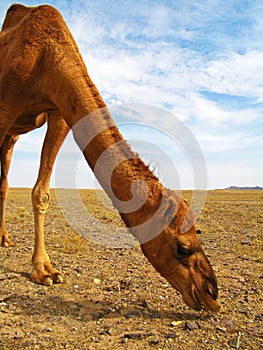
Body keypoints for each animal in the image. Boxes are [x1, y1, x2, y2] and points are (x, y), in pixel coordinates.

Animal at [0, 4, 221, 312]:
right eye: (183, 248)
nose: (211, 292)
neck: (45, 58)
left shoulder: (58, 114)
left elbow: (41, 193)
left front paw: (45, 270)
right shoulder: (4, 107)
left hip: (14, 133)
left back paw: (4, 238)